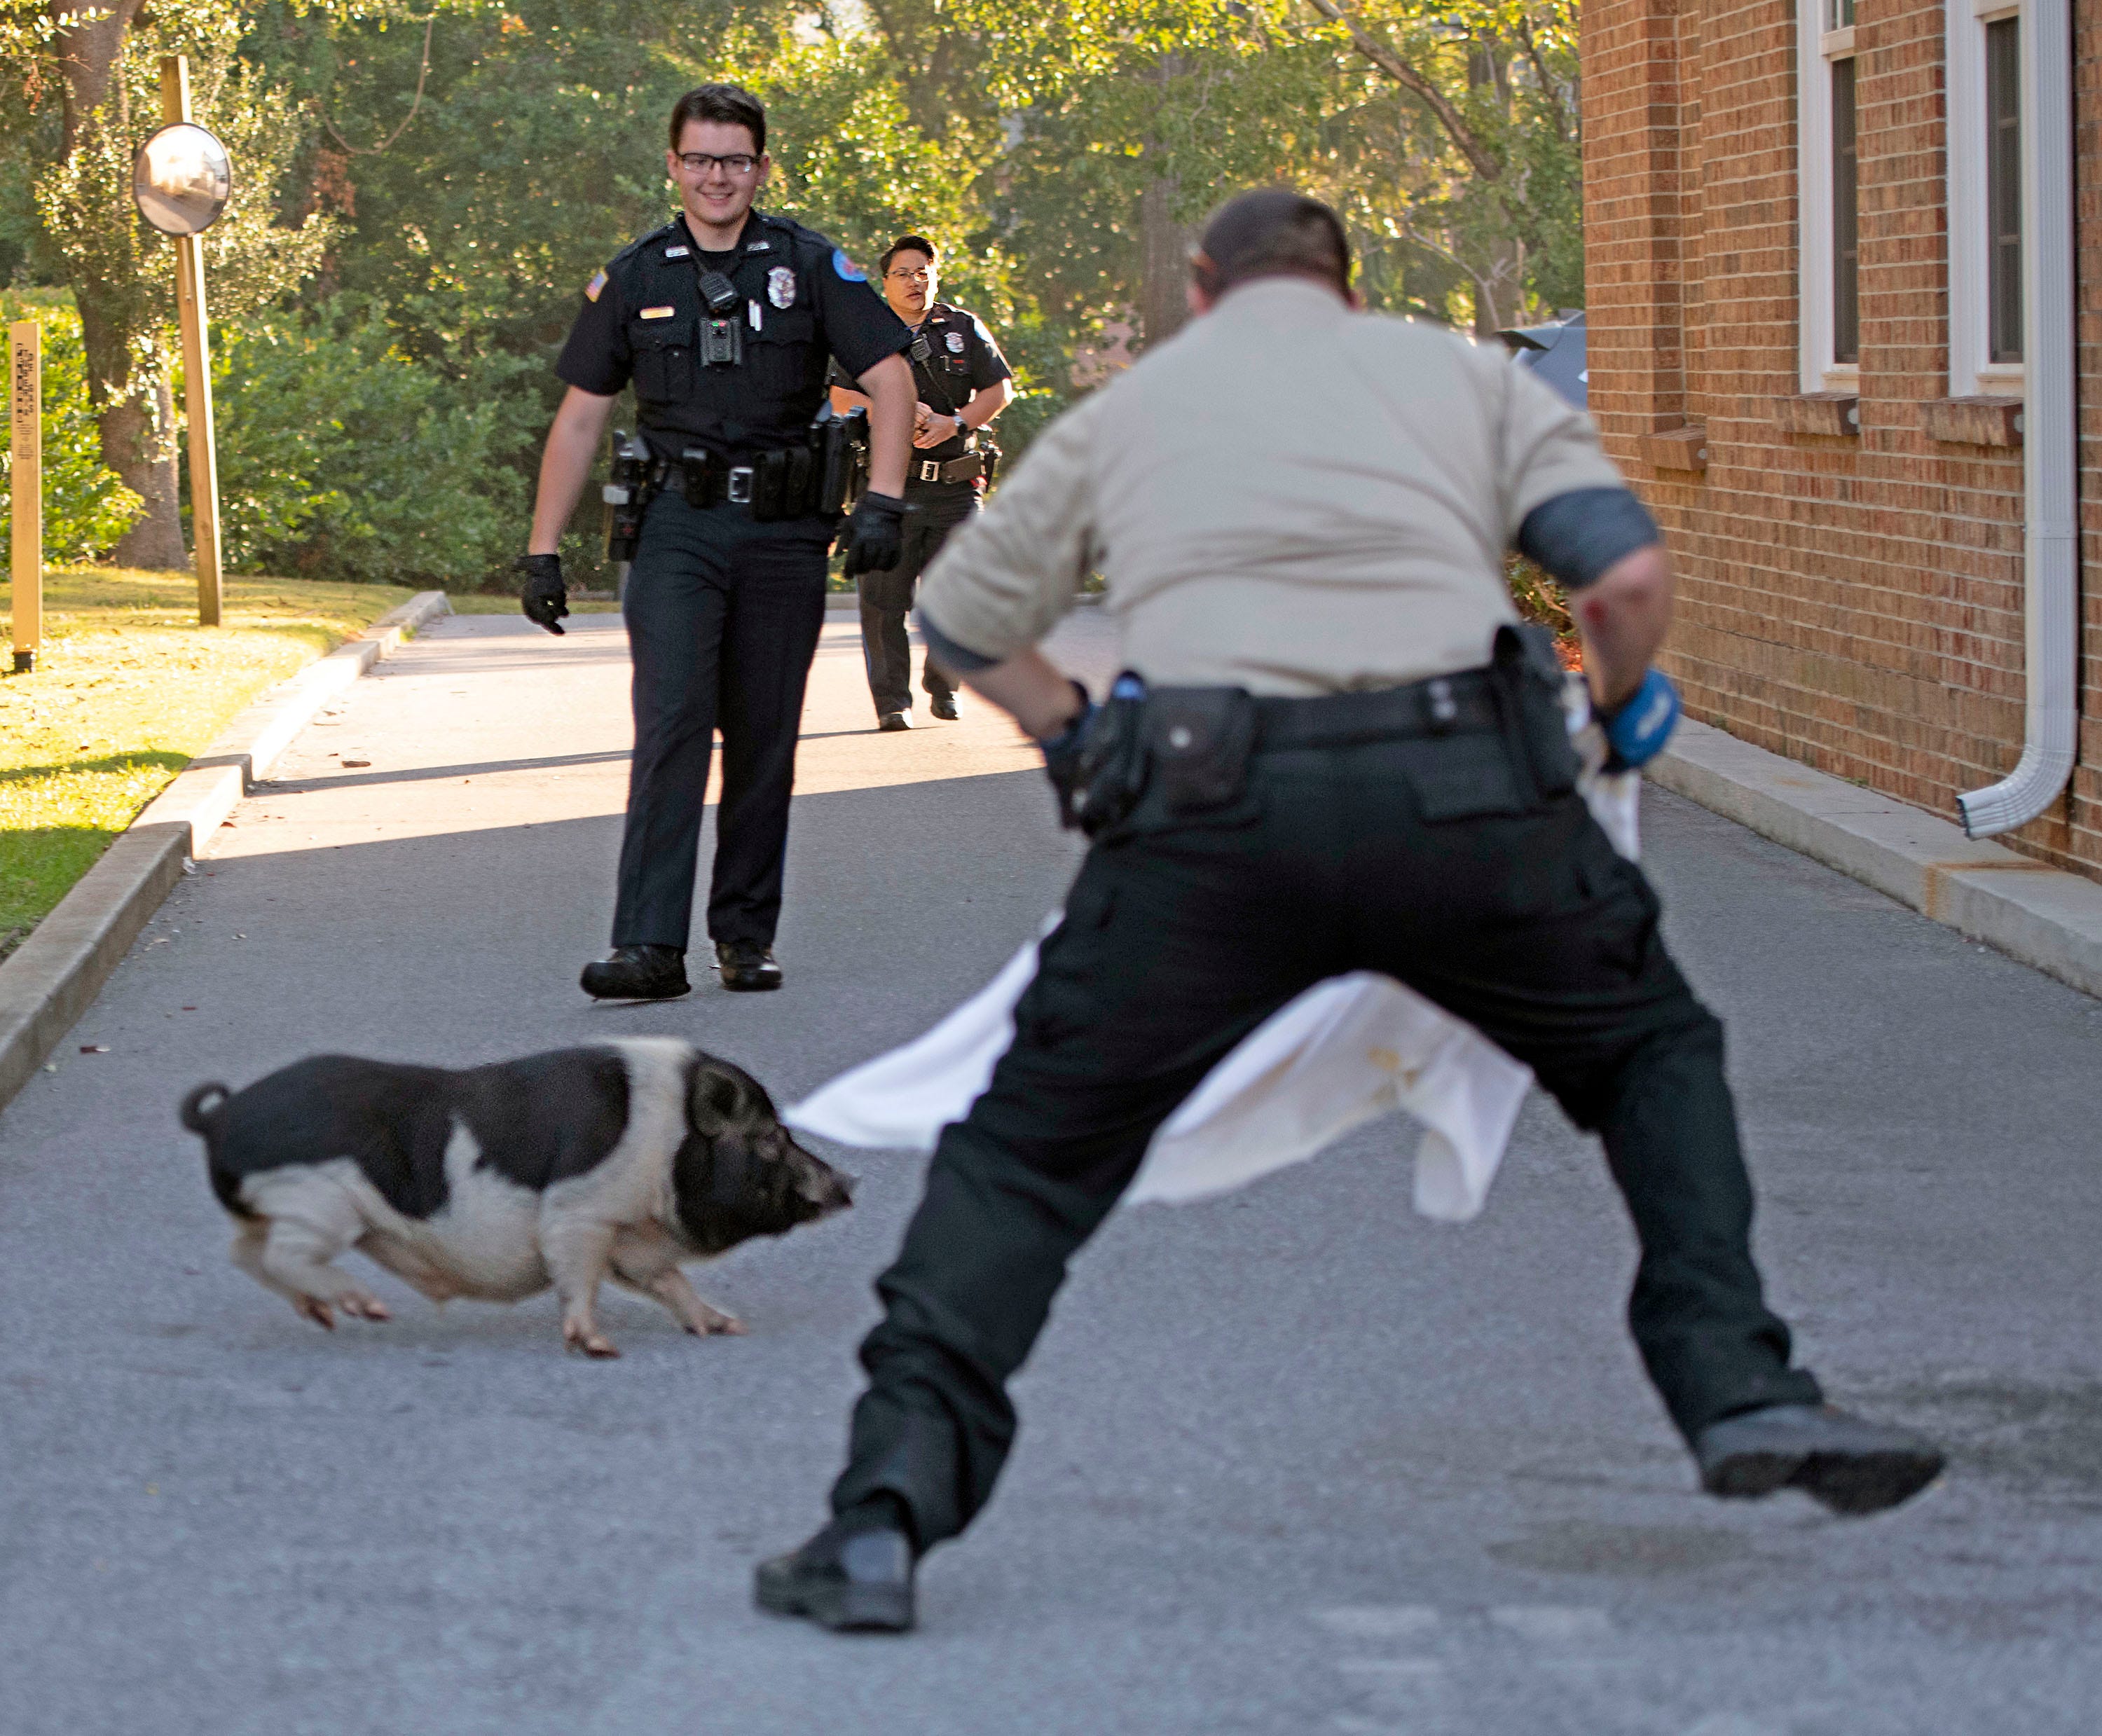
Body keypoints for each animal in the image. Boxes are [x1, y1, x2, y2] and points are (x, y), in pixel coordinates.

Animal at [181, 1030, 849, 1353]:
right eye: (770, 1139)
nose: (847, 1183)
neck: (666, 1145)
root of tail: (221, 1117)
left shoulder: (633, 1240)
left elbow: (669, 1281)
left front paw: (724, 1327)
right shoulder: (580, 1210)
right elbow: (577, 1279)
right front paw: (597, 1346)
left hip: (271, 1210)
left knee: (244, 1255)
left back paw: (321, 1315)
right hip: (318, 1204)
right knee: (280, 1256)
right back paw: (364, 1308)